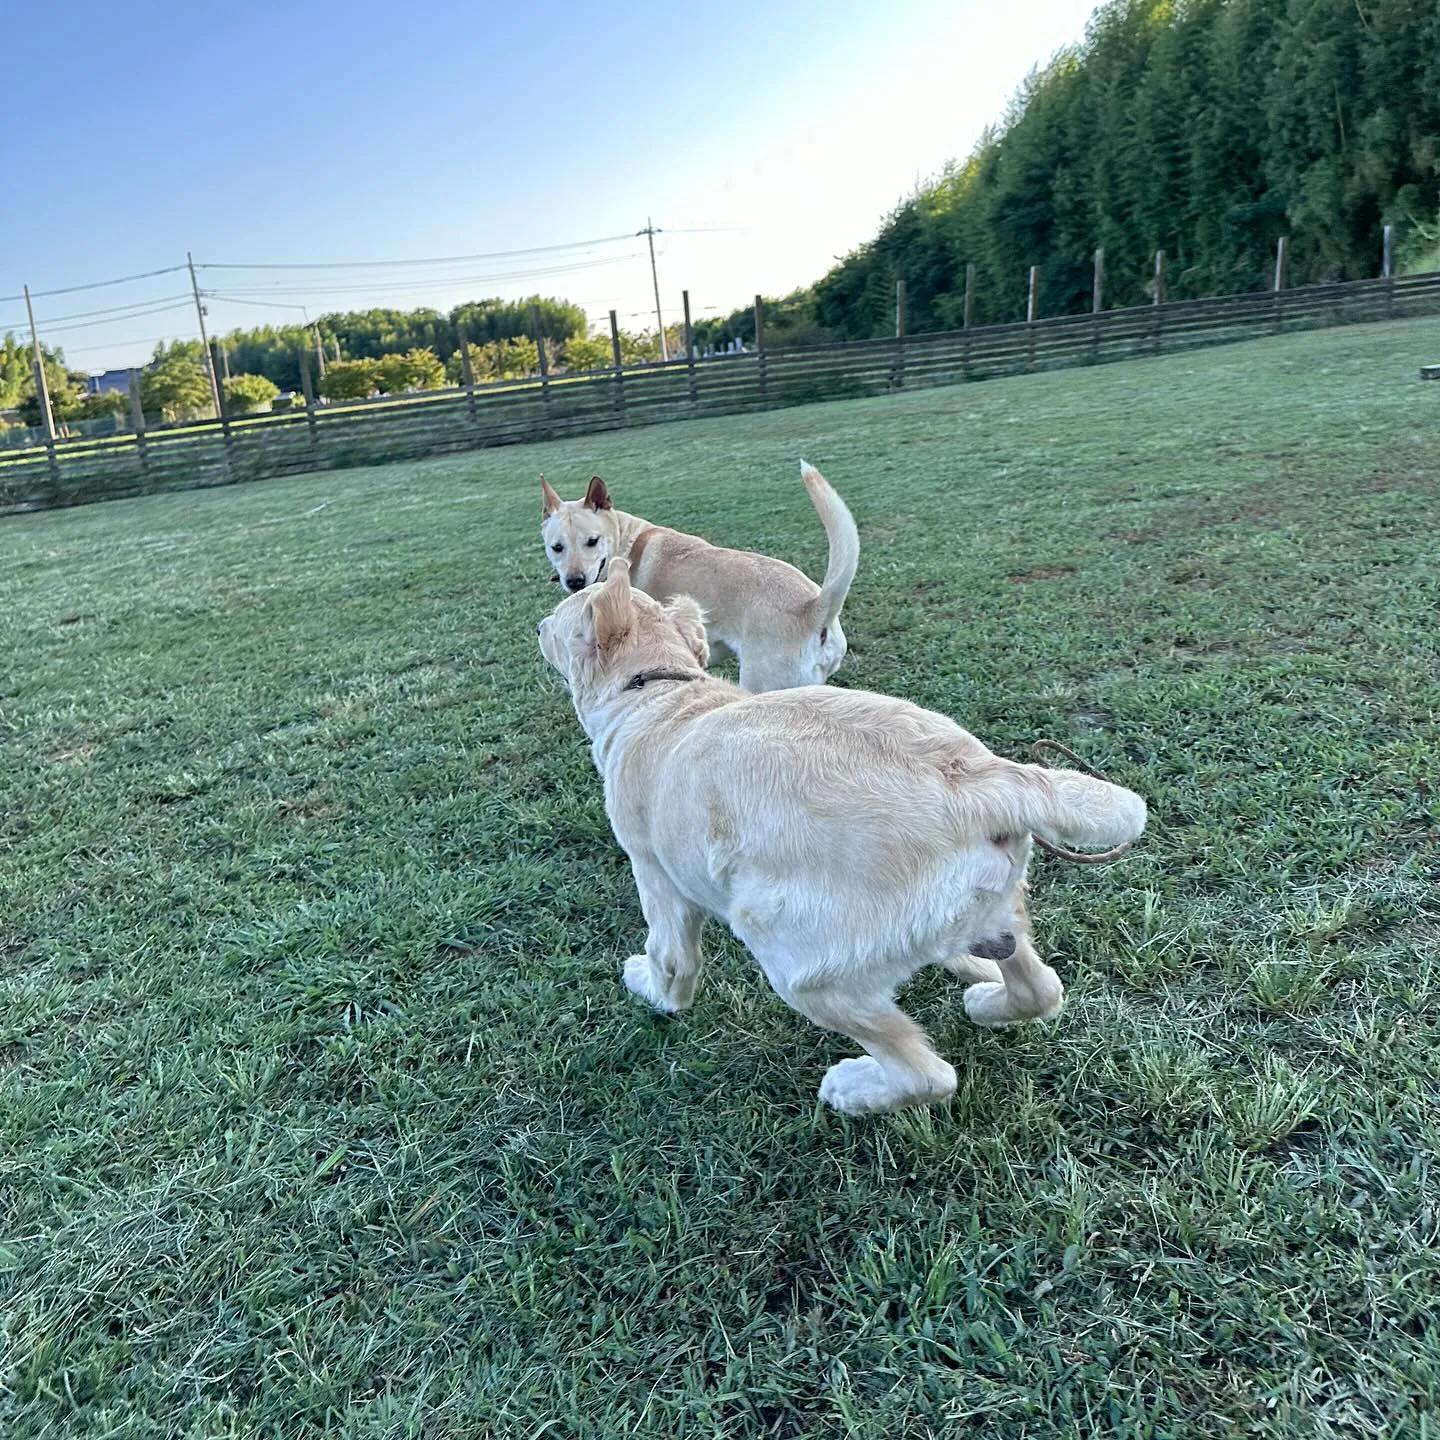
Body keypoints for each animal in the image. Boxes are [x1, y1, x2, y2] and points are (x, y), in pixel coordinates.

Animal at [538, 558, 1146, 1111]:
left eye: (560, 619)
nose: (540, 623)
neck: (657, 690)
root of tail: (976, 781)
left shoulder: (656, 878)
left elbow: (670, 964)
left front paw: (646, 983)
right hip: (1001, 912)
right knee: (1042, 989)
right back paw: (984, 999)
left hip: (793, 961)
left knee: (929, 1075)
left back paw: (855, 1088)